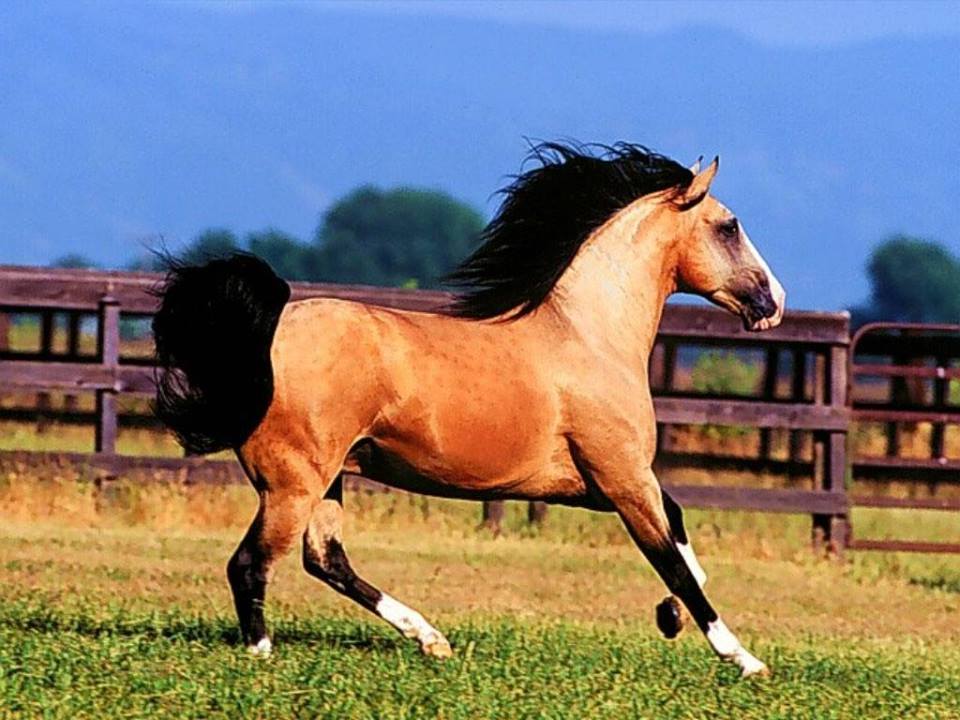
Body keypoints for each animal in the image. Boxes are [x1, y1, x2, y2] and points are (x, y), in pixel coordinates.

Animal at [152, 142, 785, 678]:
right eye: (729, 226)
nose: (774, 302)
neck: (588, 337)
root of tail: (270, 328)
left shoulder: (593, 484)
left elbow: (678, 532)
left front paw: (670, 616)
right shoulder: (623, 478)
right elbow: (669, 557)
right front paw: (743, 659)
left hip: (326, 478)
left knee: (324, 558)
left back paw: (431, 639)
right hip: (294, 482)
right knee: (251, 563)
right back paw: (262, 653)